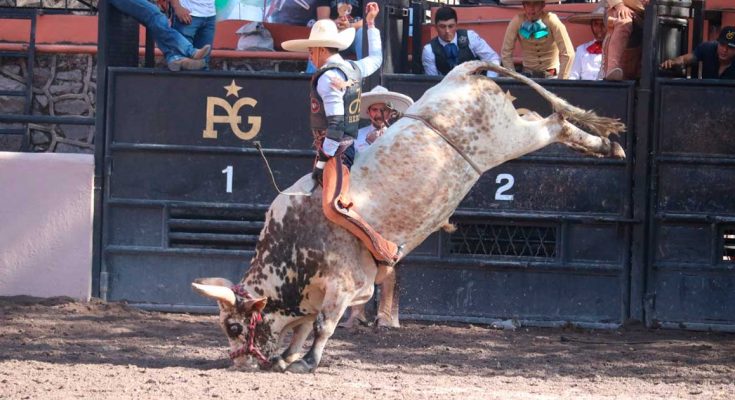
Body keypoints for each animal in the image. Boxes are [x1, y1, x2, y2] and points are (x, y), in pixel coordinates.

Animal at [191, 61, 628, 374]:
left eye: (234, 326)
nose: (238, 362)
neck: (292, 246)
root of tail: (461, 73)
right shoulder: (319, 295)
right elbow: (300, 327)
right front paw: (287, 357)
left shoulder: (342, 284)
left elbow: (320, 326)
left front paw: (306, 362)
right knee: (547, 119)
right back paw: (607, 144)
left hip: (509, 138)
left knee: (555, 124)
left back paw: (607, 146)